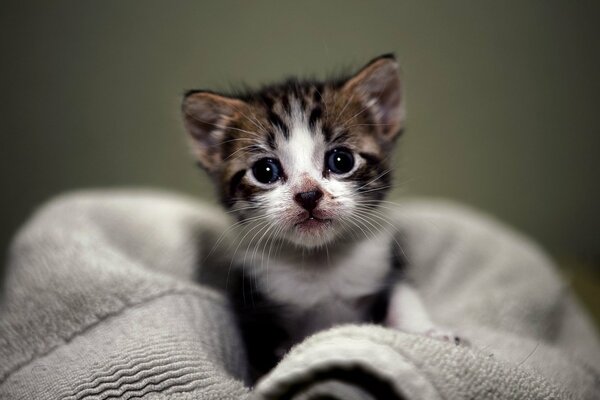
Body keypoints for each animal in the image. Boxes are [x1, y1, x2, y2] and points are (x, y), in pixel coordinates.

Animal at [180, 54, 458, 378]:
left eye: (341, 160)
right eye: (265, 170)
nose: (308, 195)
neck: (320, 261)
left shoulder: (383, 262)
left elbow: (404, 292)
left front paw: (429, 331)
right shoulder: (254, 300)